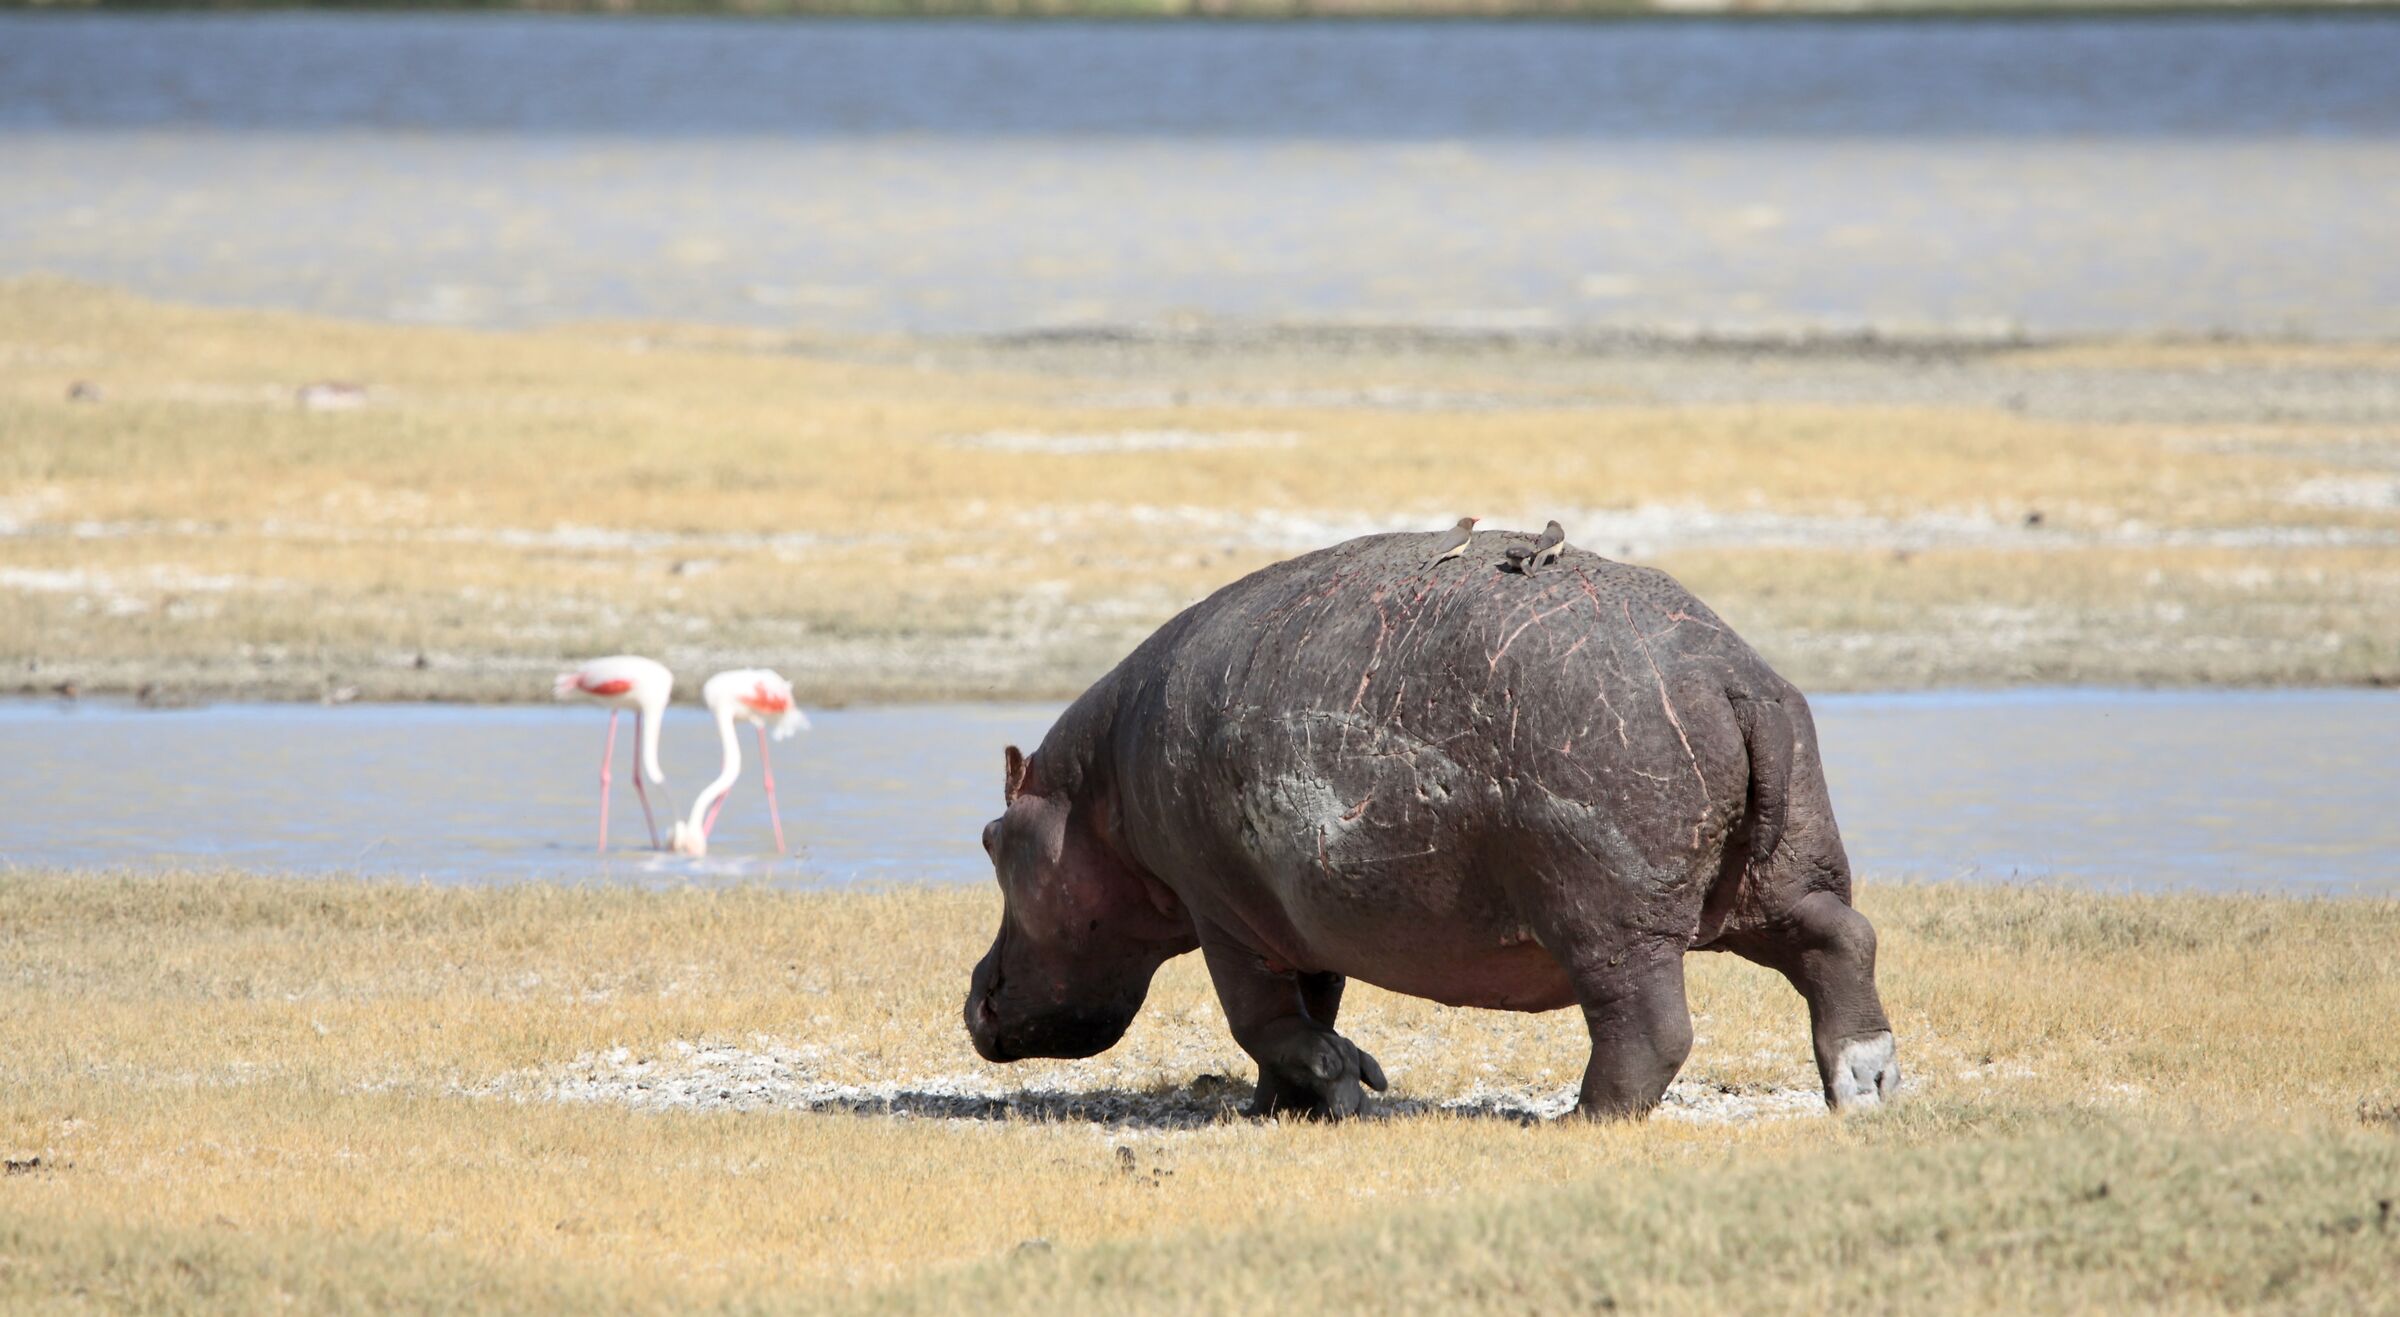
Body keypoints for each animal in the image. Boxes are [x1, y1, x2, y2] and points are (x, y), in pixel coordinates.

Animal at [965, 530, 1898, 1120]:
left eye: (987, 839)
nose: (975, 995)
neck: (1090, 799)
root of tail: (1730, 677)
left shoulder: (1222, 912)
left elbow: (1263, 1020)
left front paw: (1350, 1083)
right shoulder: (1296, 915)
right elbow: (1307, 1011)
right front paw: (1277, 1108)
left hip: (1607, 918)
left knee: (1648, 1025)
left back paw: (1581, 1118)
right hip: (1785, 872)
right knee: (1840, 941)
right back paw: (1864, 1088)